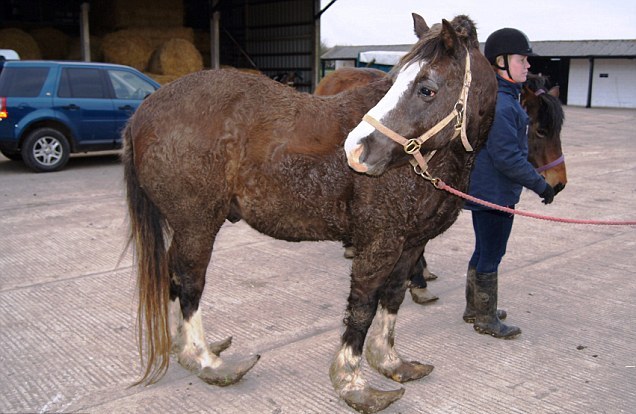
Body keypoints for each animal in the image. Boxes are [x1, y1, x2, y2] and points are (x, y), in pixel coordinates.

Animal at [125, 13, 496, 414]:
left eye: (426, 88)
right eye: (396, 80)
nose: (356, 150)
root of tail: (143, 113)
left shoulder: (410, 244)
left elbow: (393, 298)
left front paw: (390, 362)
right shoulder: (378, 243)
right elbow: (362, 307)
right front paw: (352, 383)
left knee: (175, 280)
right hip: (197, 226)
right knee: (189, 284)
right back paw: (205, 360)